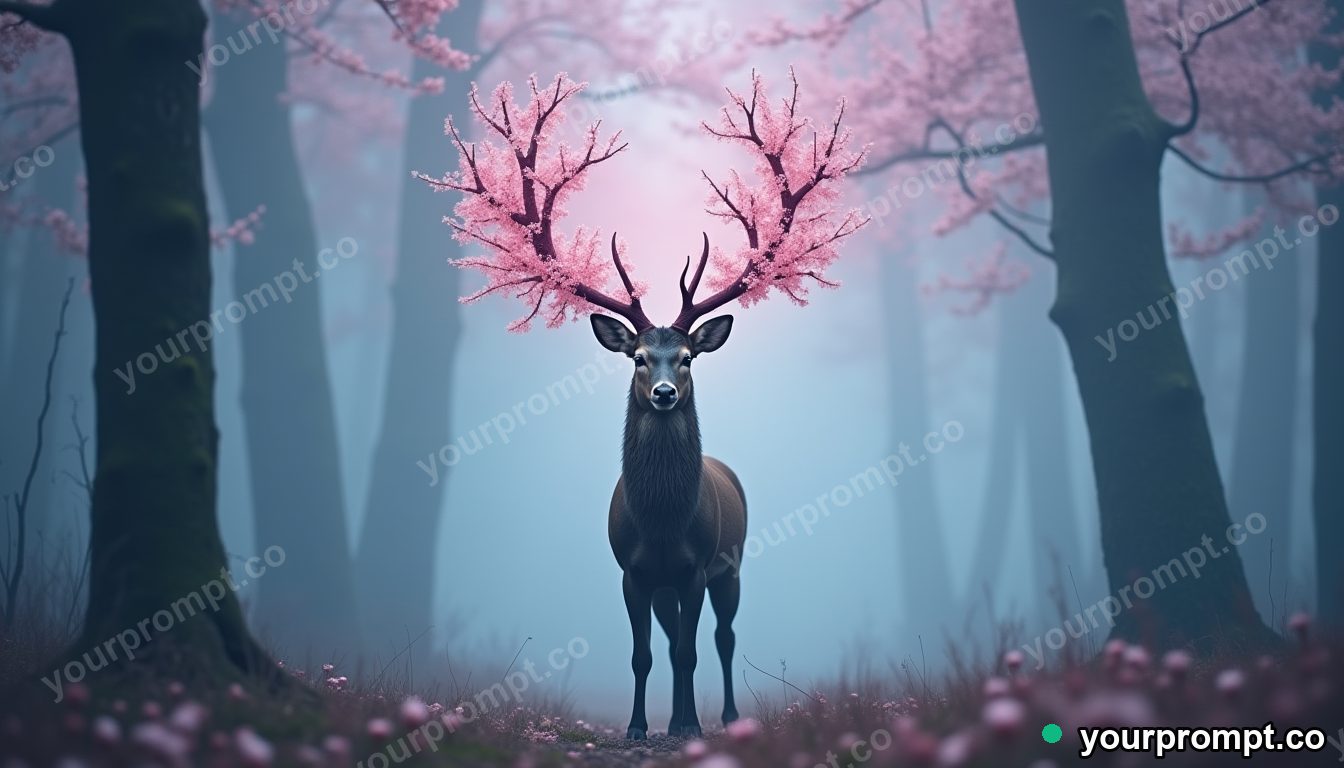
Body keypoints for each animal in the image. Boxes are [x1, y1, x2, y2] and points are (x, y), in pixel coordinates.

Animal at [416, 69, 867, 739]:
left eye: (687, 358)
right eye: (636, 357)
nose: (663, 393)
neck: (660, 521)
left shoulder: (695, 565)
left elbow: (690, 649)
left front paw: (688, 726)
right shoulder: (632, 570)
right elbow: (644, 653)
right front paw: (637, 726)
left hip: (732, 566)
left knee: (723, 638)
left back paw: (719, 716)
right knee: (674, 637)